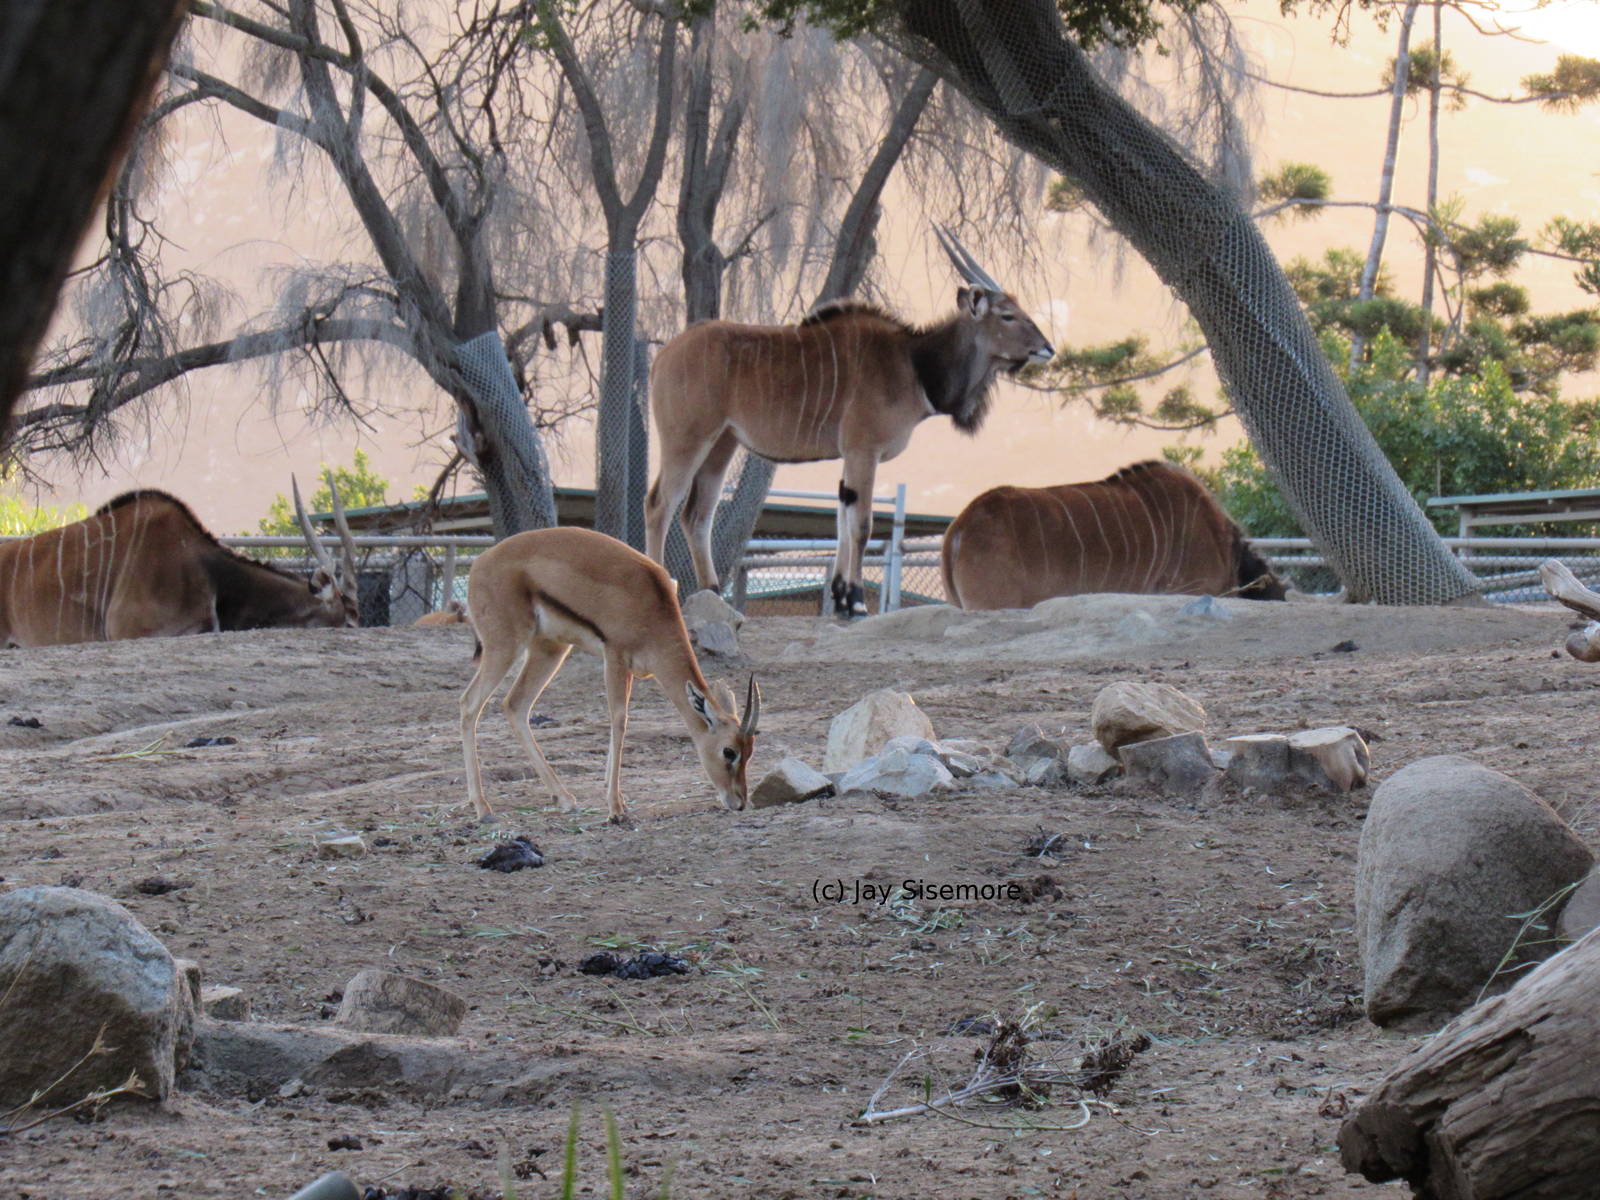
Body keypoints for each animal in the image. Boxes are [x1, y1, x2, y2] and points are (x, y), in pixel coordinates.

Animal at [459, 527, 759, 823]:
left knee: (515, 705)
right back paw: (483, 808)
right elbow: (619, 719)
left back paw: (564, 799)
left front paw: (614, 796)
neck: (652, 605)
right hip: (505, 647)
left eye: (749, 751)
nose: (740, 802)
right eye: (729, 751)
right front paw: (615, 808)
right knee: (470, 703)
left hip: (550, 649)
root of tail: (481, 561)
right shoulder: (615, 655)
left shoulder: (627, 668)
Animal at [645, 227, 1053, 618]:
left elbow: (844, 516)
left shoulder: (851, 457)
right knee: (660, 504)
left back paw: (714, 594)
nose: (1047, 348)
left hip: (722, 444)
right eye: (1007, 315)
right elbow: (860, 525)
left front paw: (841, 597)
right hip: (688, 439)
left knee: (698, 514)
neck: (913, 363)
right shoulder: (863, 450)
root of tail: (664, 354)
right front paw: (855, 601)